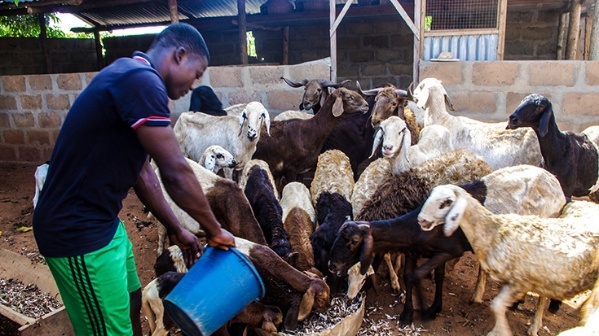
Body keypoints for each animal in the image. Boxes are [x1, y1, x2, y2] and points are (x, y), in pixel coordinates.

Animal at [418, 184, 599, 336]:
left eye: (447, 202)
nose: (421, 219)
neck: (493, 230)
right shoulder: (510, 282)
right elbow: (496, 304)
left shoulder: (519, 282)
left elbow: (497, 305)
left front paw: (499, 332)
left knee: (543, 298)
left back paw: (536, 326)